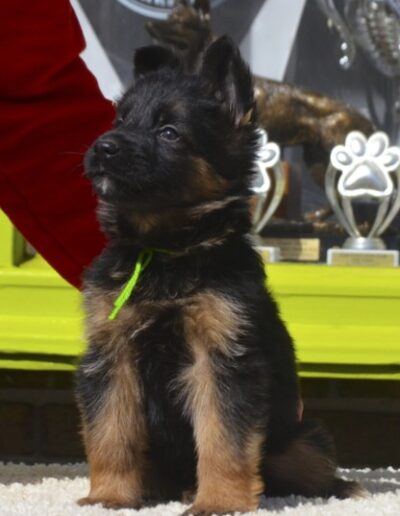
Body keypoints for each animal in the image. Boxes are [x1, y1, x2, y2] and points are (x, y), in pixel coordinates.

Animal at [76, 36, 364, 515]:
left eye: (169, 132)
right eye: (121, 120)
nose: (102, 147)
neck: (168, 252)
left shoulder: (221, 360)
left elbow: (223, 438)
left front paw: (221, 501)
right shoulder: (112, 357)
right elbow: (111, 433)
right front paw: (110, 496)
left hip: (303, 440)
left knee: (304, 472)